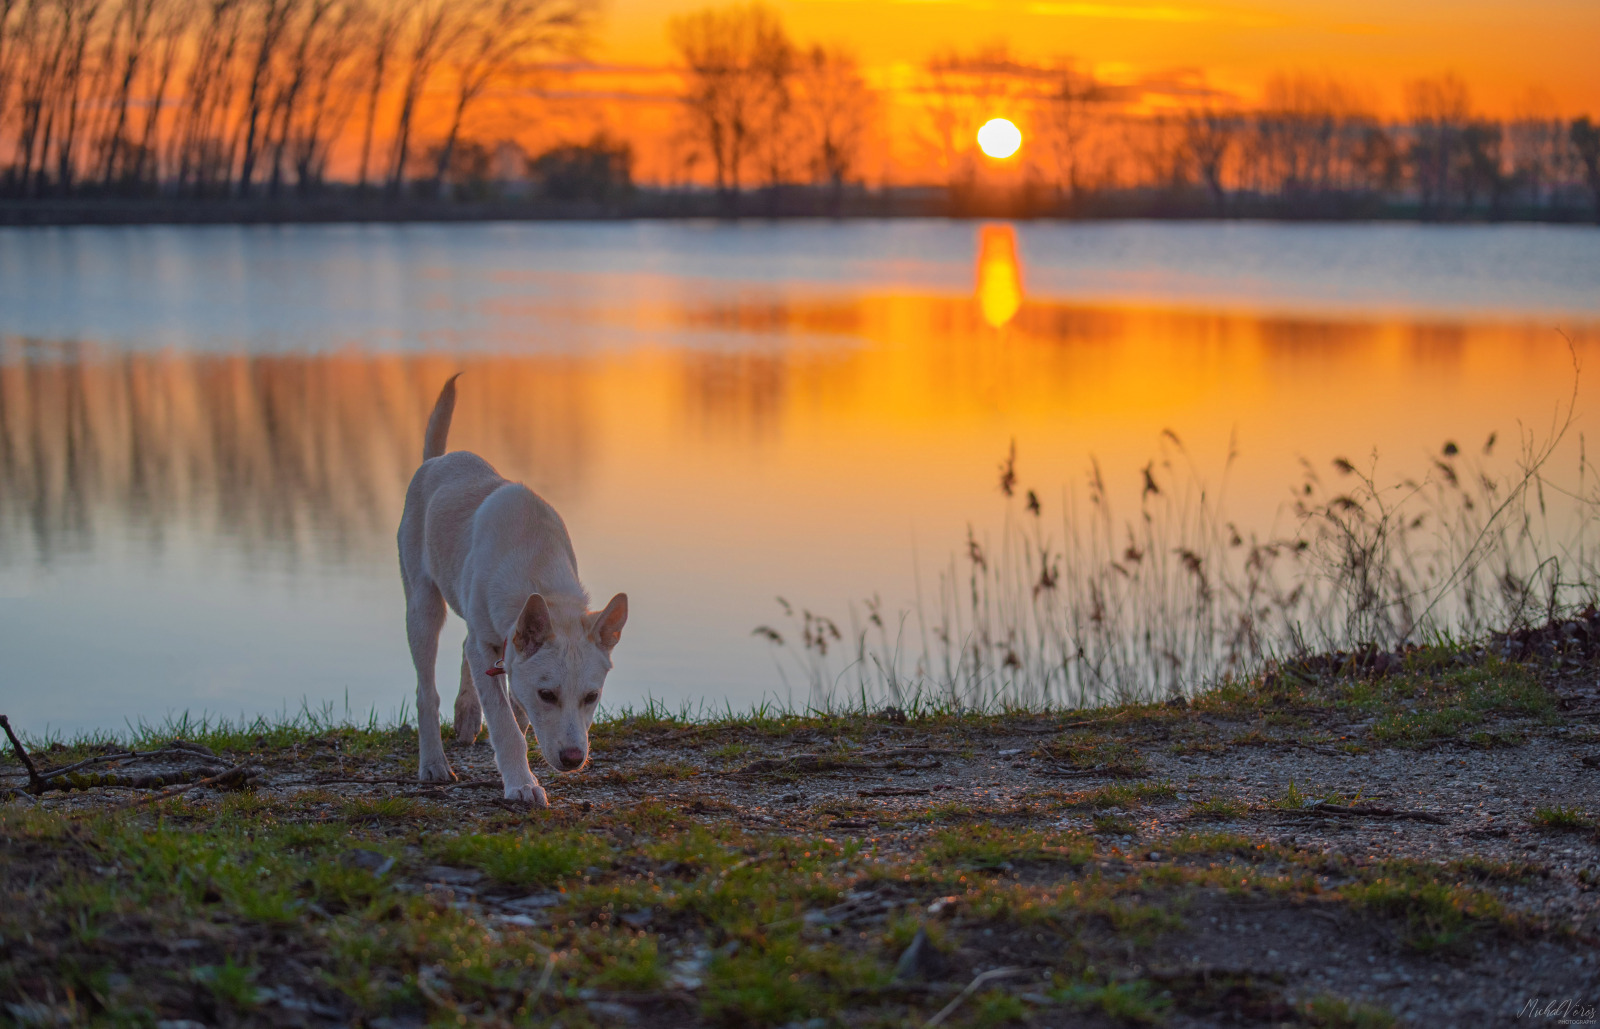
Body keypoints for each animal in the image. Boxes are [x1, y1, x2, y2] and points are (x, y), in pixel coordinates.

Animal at [396, 374, 627, 809]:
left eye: (592, 696)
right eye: (547, 694)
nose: (574, 759)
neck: (536, 571)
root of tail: (436, 460)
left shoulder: (502, 648)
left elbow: (514, 712)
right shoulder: (490, 644)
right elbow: (505, 725)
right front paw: (522, 784)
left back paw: (467, 715)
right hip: (422, 605)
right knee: (424, 690)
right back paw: (433, 763)